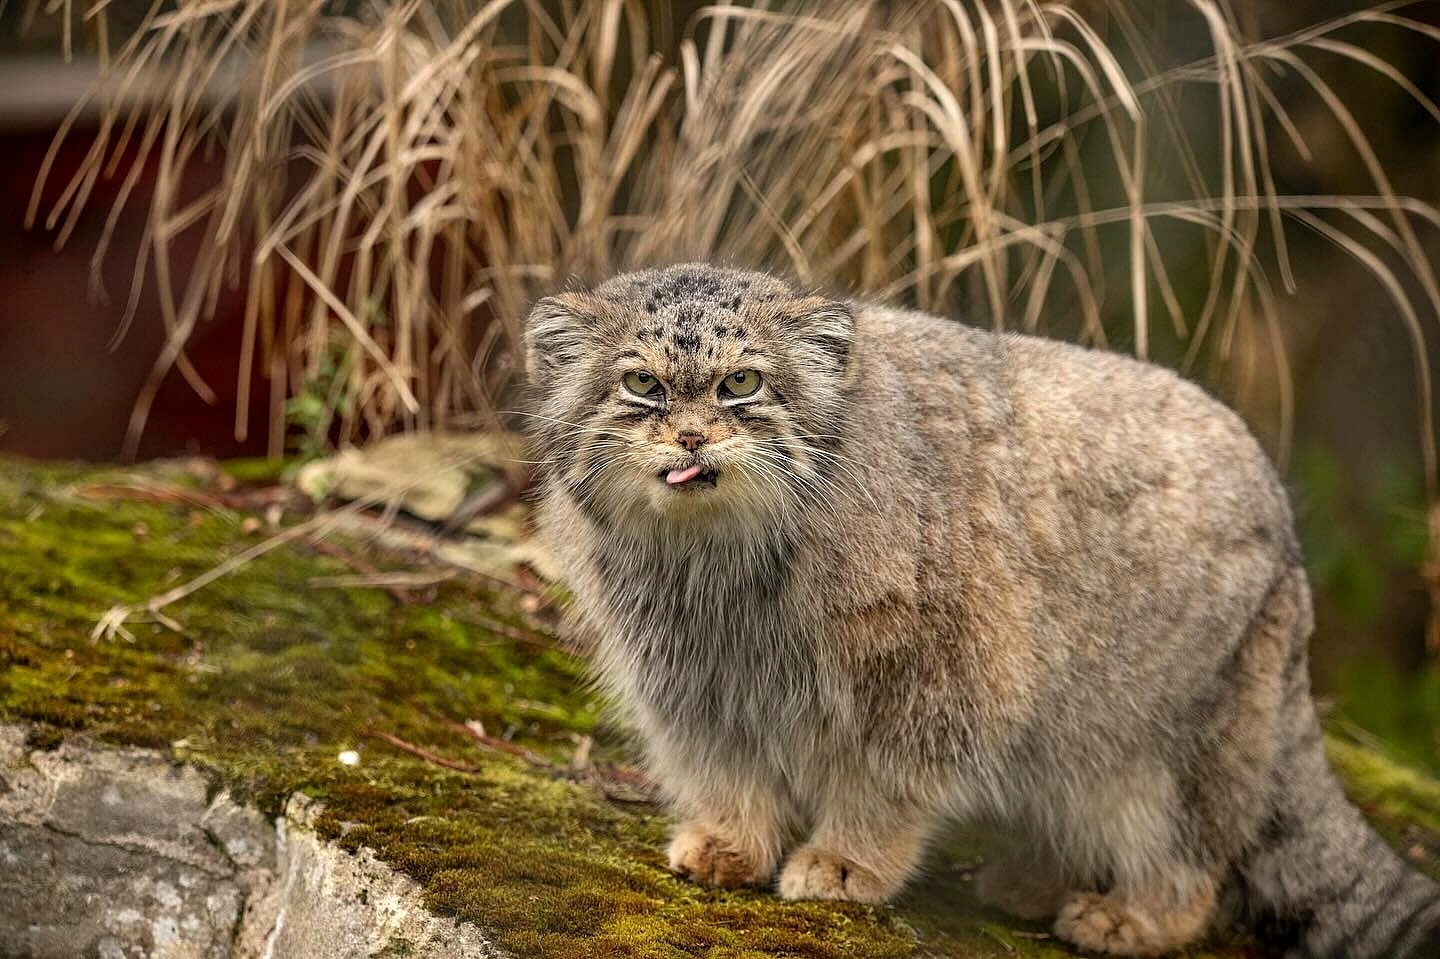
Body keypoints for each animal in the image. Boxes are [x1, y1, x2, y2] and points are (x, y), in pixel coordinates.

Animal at [524, 263, 1434, 956]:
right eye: (642, 383)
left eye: (741, 382)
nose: (691, 438)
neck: (718, 565)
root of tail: (1288, 535)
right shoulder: (694, 681)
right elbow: (725, 768)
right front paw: (730, 841)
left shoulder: (938, 672)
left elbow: (883, 781)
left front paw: (846, 861)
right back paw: (1031, 880)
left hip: (1171, 733)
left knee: (1194, 847)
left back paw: (1136, 915)